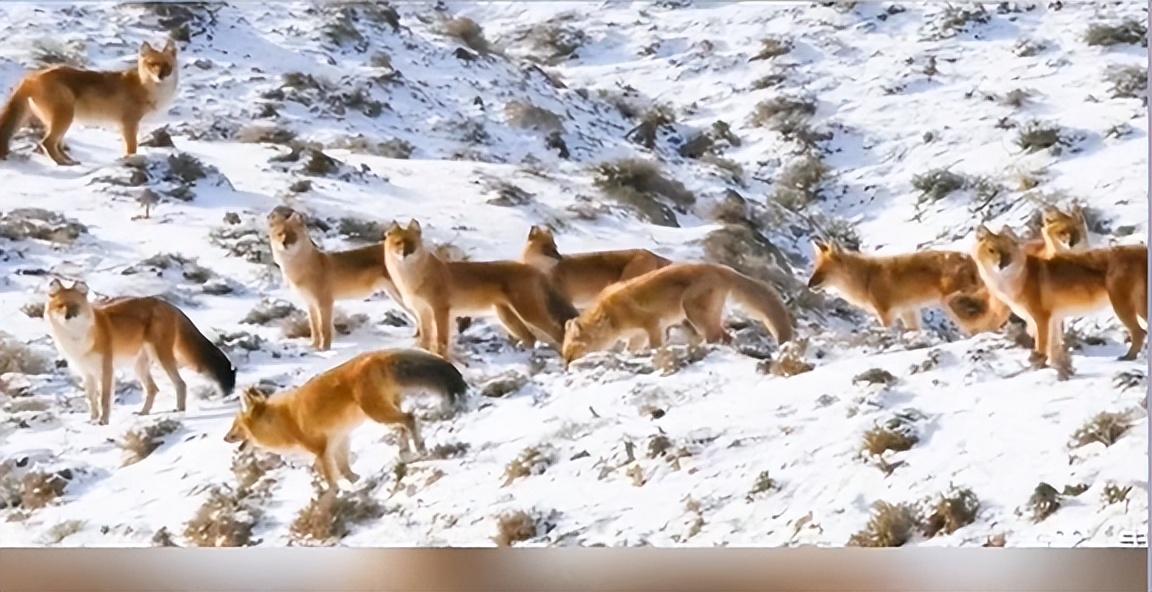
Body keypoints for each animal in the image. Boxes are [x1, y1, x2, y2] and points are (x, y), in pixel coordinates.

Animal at [43, 277, 236, 421]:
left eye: (75, 305)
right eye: (61, 306)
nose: (68, 316)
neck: (77, 339)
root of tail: (168, 305)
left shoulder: (106, 369)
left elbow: (104, 400)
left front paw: (103, 422)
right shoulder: (86, 372)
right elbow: (92, 400)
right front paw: (92, 420)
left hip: (161, 358)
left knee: (180, 384)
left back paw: (179, 410)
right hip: (140, 366)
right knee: (153, 389)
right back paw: (144, 413)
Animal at [222, 347, 465, 490]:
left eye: (235, 427)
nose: (225, 438)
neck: (284, 421)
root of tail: (375, 355)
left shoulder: (321, 451)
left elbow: (332, 481)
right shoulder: (339, 441)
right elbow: (347, 472)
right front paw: (358, 484)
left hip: (377, 413)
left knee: (410, 418)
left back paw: (419, 448)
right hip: (384, 412)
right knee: (402, 426)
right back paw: (405, 453)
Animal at [562, 261, 797, 363]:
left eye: (571, 353)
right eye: (565, 355)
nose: (568, 367)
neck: (611, 316)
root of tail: (722, 268)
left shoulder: (653, 324)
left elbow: (656, 346)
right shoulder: (636, 336)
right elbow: (629, 350)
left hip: (694, 313)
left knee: (720, 337)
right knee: (726, 336)